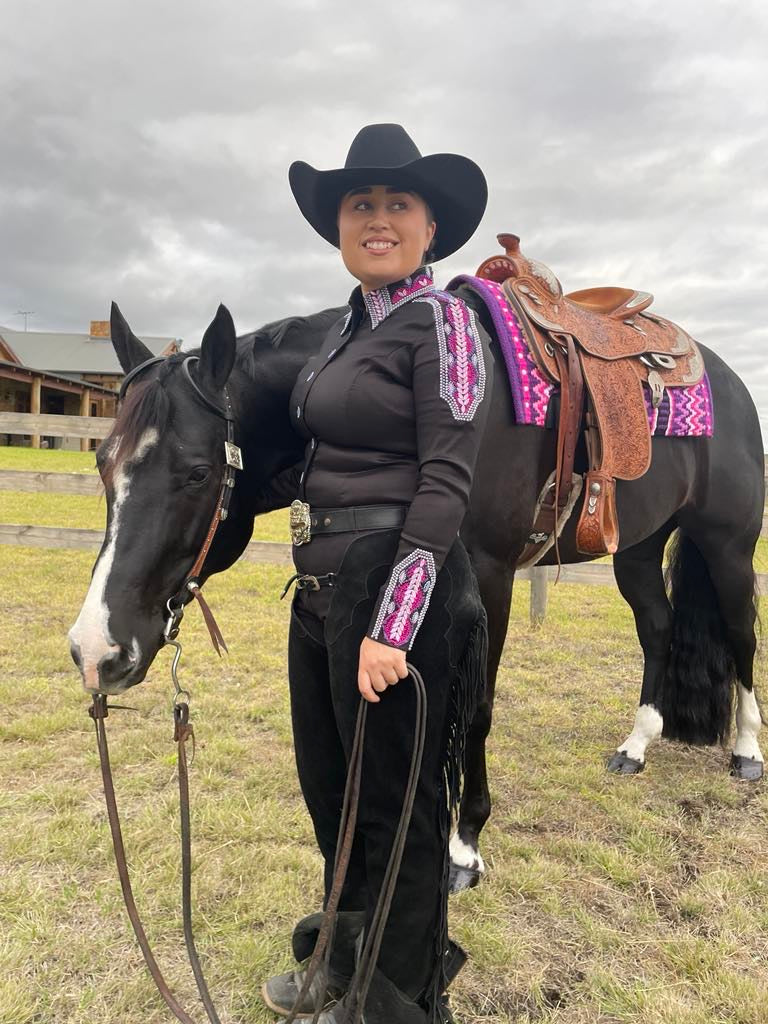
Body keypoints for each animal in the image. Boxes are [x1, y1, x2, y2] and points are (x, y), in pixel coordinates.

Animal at [70, 294, 765, 888]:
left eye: (197, 472)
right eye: (103, 463)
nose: (95, 650)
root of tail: (729, 382)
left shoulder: (490, 576)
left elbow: (475, 708)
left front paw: (464, 846)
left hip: (727, 546)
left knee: (741, 637)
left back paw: (746, 751)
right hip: (640, 549)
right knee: (658, 627)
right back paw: (638, 745)